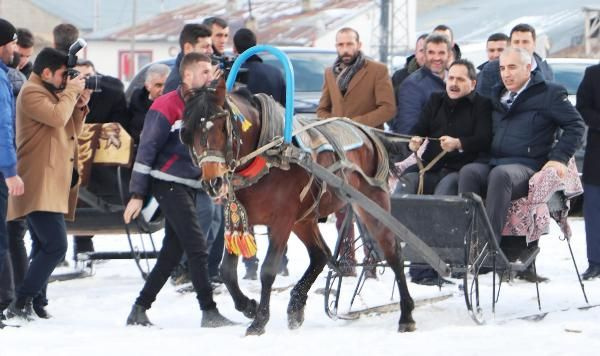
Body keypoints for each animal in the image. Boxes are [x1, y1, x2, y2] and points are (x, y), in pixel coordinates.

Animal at [178, 85, 414, 336]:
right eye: (187, 132)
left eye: (223, 126)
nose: (213, 183)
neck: (268, 155)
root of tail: (367, 132)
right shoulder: (237, 217)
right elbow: (227, 271)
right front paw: (249, 306)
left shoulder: (282, 221)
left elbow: (268, 270)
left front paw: (259, 321)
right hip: (304, 219)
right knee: (320, 255)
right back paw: (295, 306)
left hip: (371, 202)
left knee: (393, 253)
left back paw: (406, 314)